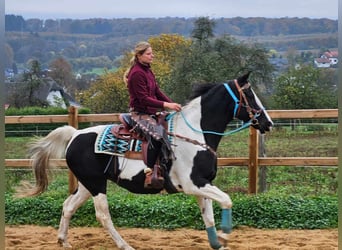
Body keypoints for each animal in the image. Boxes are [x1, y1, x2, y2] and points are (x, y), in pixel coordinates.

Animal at [18, 71, 274, 249]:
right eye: (249, 95)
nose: (268, 123)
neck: (196, 134)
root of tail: (75, 134)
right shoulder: (194, 184)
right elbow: (227, 200)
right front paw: (224, 235)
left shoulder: (203, 184)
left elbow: (208, 216)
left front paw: (217, 241)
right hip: (96, 184)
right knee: (103, 215)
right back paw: (124, 245)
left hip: (86, 184)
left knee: (68, 206)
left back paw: (63, 240)